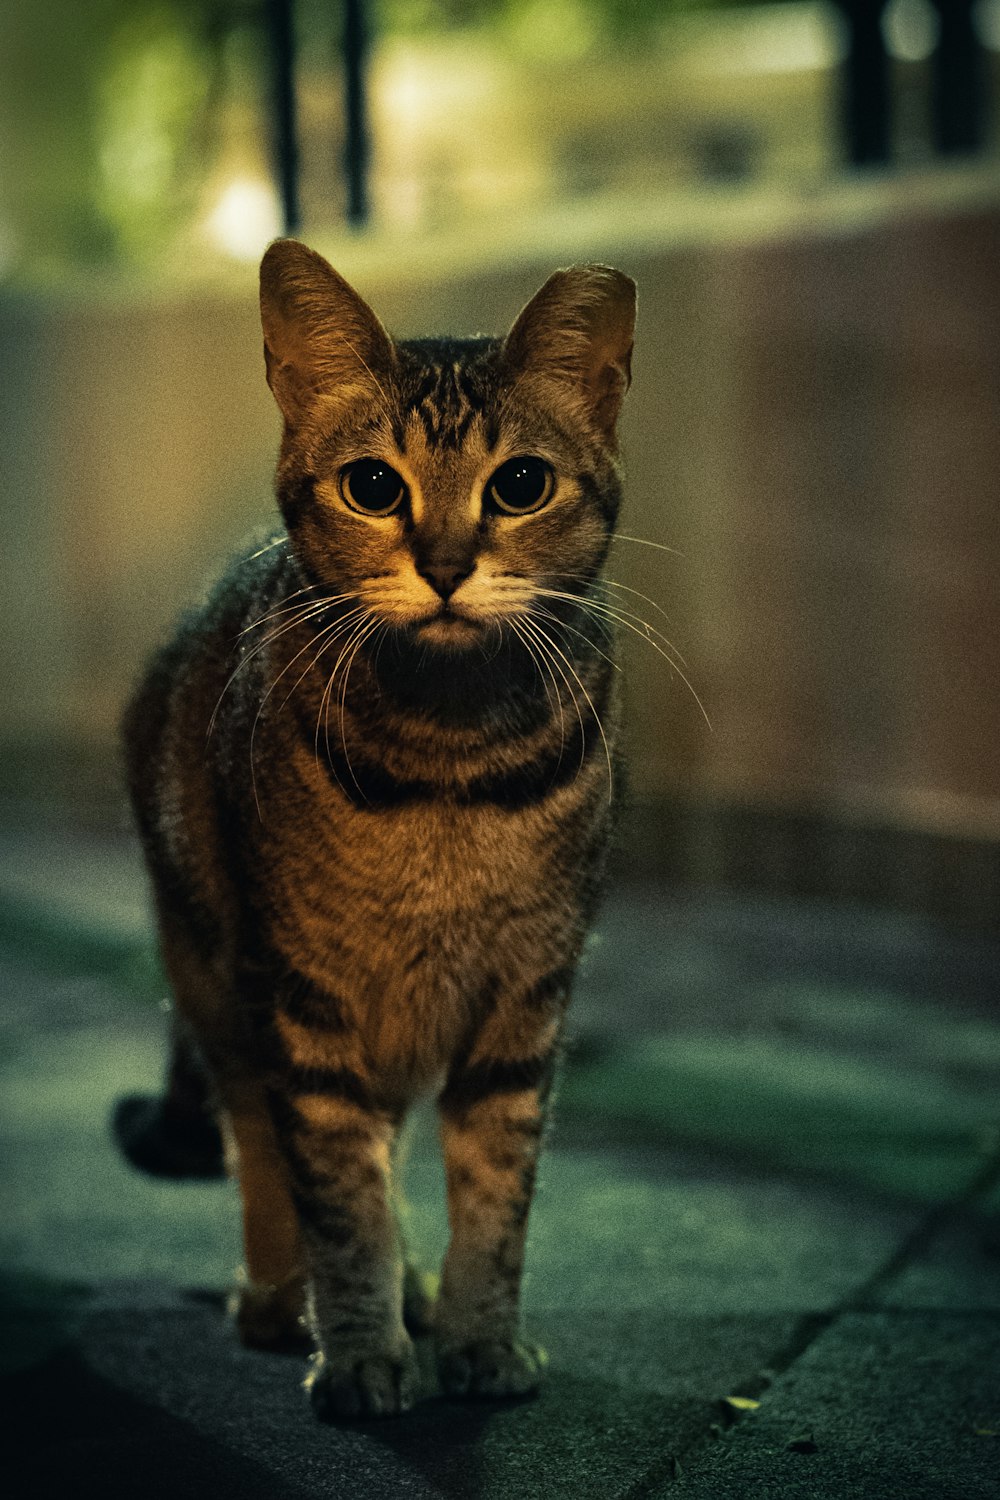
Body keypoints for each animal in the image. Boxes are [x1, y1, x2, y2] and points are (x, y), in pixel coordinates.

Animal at [117, 237, 632, 1416]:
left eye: (520, 484)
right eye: (373, 486)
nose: (443, 566)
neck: (450, 762)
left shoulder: (526, 1004)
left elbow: (494, 1195)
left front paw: (479, 1335)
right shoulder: (306, 1004)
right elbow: (337, 1201)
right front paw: (354, 1349)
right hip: (218, 981)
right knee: (262, 1147)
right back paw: (278, 1299)